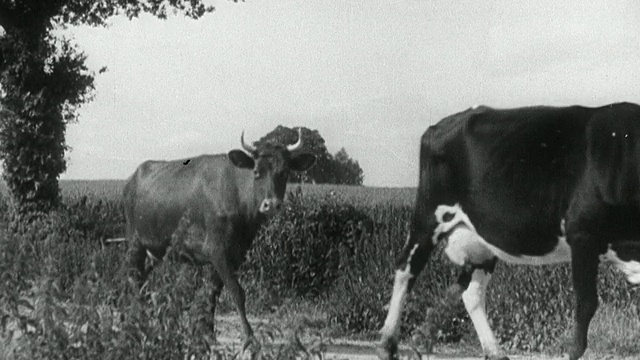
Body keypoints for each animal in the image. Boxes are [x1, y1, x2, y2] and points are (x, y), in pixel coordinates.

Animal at [122, 129, 316, 348]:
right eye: (257, 172)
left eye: (284, 173)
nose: (272, 204)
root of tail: (133, 177)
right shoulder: (217, 250)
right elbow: (236, 292)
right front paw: (249, 337)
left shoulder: (235, 253)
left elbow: (213, 292)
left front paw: (207, 332)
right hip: (135, 241)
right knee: (133, 277)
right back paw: (137, 320)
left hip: (155, 249)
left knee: (142, 278)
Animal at [378, 102, 640, 360]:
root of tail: (441, 125)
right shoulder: (582, 236)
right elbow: (586, 304)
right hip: (429, 216)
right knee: (406, 269)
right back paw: (387, 345)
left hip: (480, 242)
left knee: (471, 293)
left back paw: (494, 352)